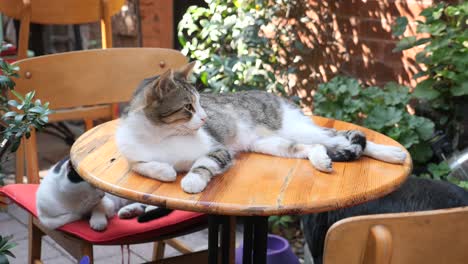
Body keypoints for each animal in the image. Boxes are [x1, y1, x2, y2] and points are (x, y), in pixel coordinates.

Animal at [36, 157, 172, 231]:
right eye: (92, 184)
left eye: (99, 185)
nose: (103, 194)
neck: (74, 200)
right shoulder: (44, 216)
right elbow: (56, 221)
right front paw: (81, 214)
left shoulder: (107, 202)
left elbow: (99, 208)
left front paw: (97, 221)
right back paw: (129, 211)